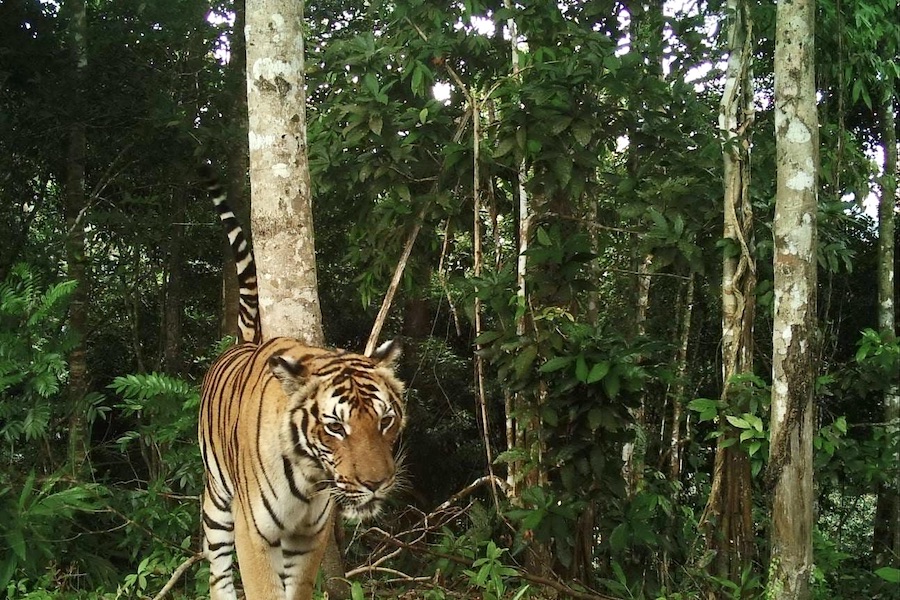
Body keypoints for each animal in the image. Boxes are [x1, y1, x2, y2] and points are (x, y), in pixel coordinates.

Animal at [200, 165, 408, 600]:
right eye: (336, 428)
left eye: (385, 421)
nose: (376, 484)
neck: (310, 479)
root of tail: (245, 342)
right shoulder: (253, 533)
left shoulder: (309, 536)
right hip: (217, 502)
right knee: (218, 572)